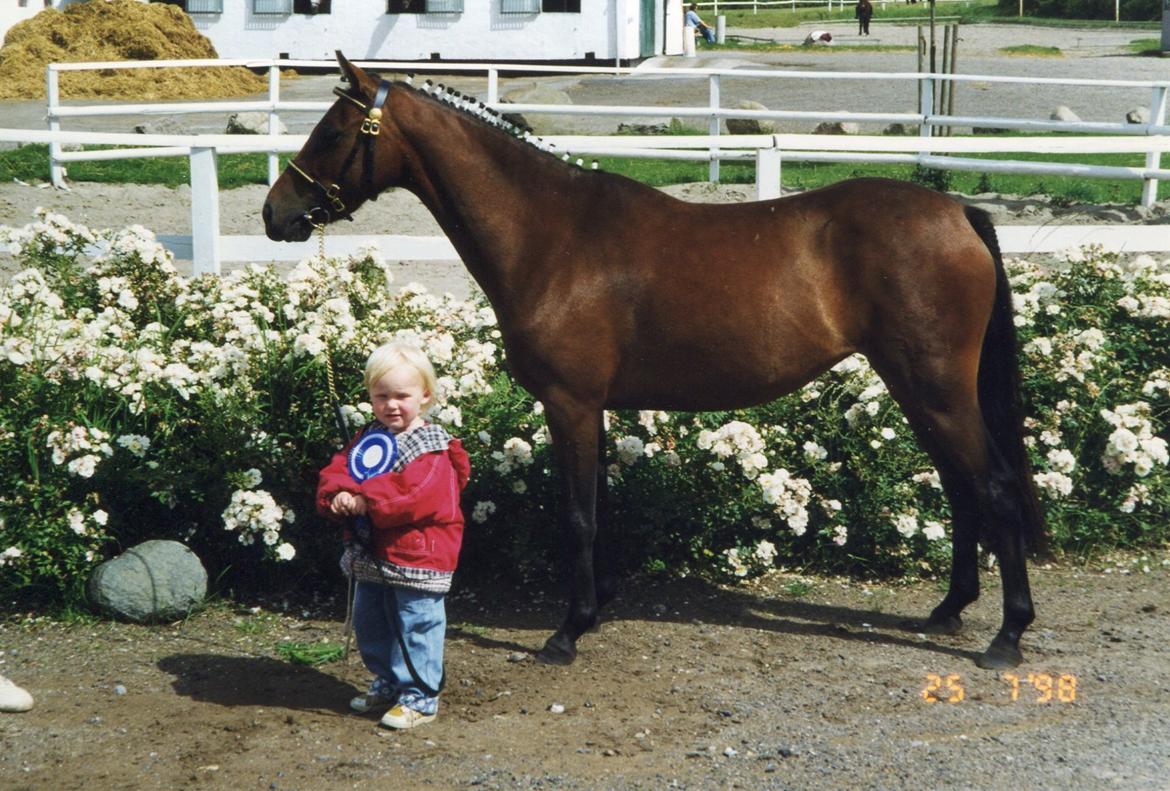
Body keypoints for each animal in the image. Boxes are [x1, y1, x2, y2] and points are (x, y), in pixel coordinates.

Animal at [267, 54, 1053, 673]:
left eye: (332, 131)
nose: (277, 213)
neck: (554, 236)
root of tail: (956, 212)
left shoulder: (570, 402)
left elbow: (578, 513)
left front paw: (568, 630)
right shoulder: (593, 407)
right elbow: (601, 506)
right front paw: (599, 605)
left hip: (937, 388)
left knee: (993, 486)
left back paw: (1007, 635)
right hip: (918, 388)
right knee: (959, 489)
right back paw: (950, 607)